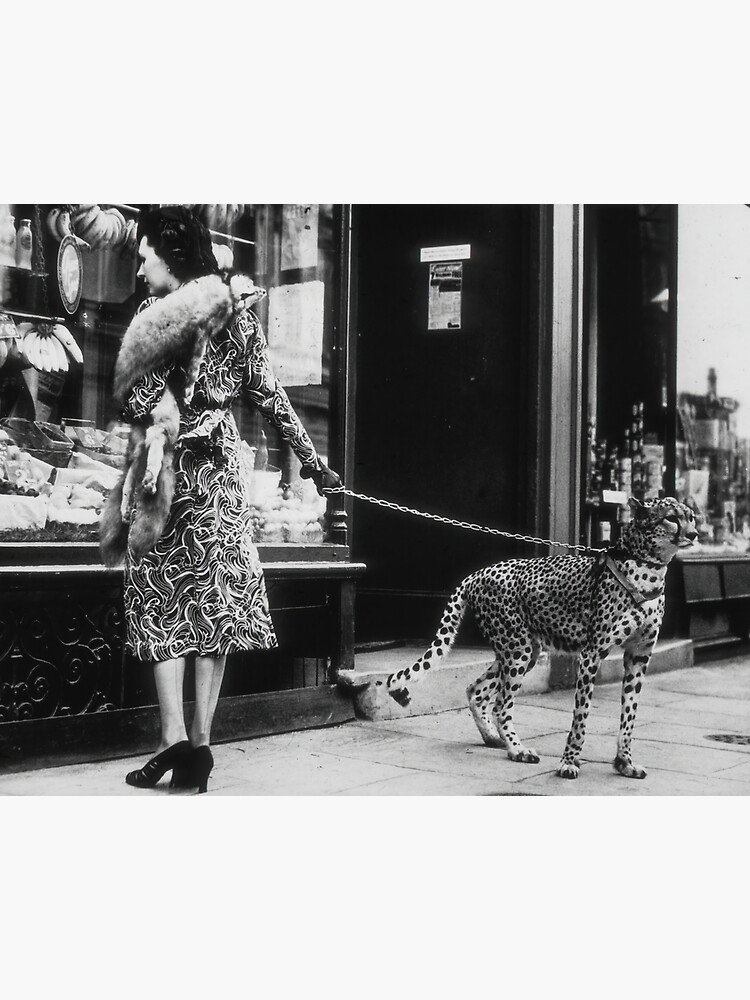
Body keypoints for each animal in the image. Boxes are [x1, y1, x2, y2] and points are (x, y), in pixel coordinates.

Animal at [388, 500, 700, 780]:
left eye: (692, 517)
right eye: (671, 518)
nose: (695, 534)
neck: (647, 567)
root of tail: (478, 573)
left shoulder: (638, 656)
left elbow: (629, 715)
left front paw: (625, 763)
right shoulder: (592, 654)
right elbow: (581, 714)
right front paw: (569, 763)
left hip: (523, 651)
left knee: (475, 689)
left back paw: (493, 738)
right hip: (518, 650)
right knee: (501, 705)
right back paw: (517, 750)